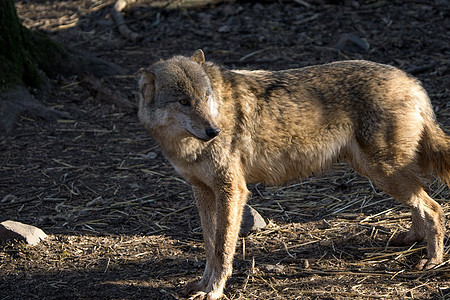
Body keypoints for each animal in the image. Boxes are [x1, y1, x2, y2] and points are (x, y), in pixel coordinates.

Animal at [138, 50, 450, 298]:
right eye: (183, 102)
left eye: (205, 97)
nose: (214, 130)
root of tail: (413, 82)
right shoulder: (202, 190)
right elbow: (209, 245)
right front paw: (202, 285)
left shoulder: (233, 190)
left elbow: (223, 248)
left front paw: (214, 291)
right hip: (378, 171)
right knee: (422, 199)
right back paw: (413, 239)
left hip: (382, 171)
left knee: (434, 207)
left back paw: (433, 260)